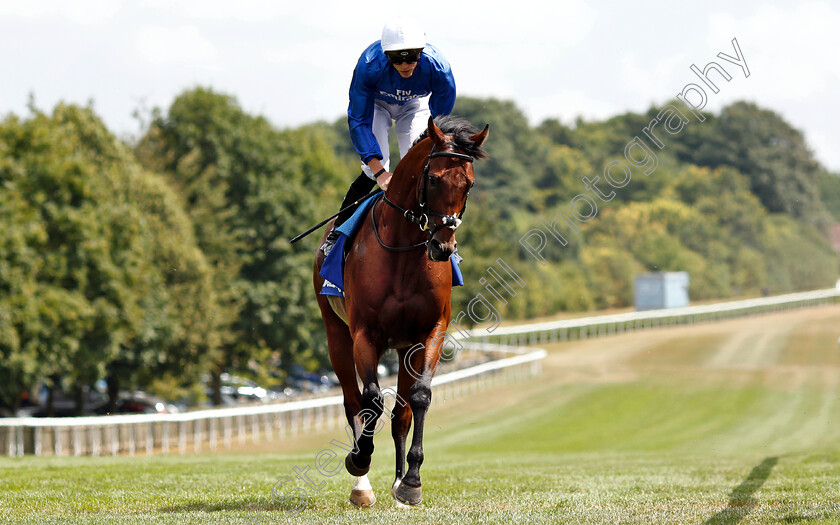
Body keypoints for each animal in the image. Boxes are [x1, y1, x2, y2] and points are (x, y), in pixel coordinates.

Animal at [314, 116, 486, 506]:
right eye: (433, 178)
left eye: (469, 183)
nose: (442, 246)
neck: (404, 252)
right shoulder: (365, 334)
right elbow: (371, 400)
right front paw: (359, 459)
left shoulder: (429, 332)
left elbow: (418, 399)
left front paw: (411, 481)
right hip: (336, 334)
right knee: (352, 402)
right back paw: (361, 485)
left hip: (404, 346)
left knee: (401, 413)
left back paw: (396, 481)